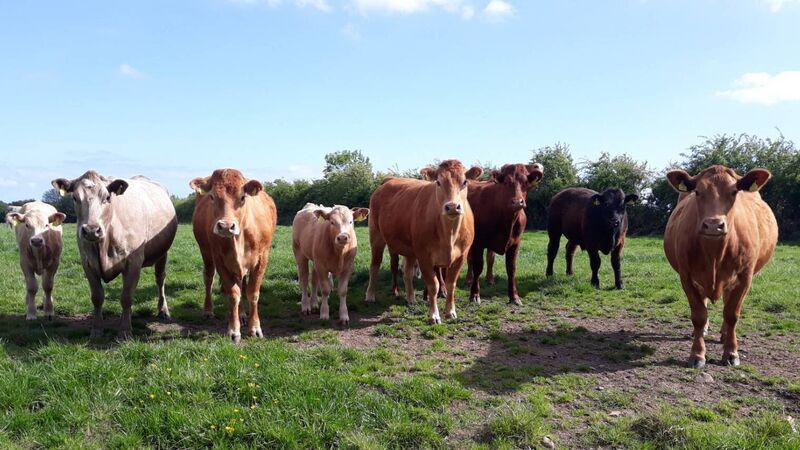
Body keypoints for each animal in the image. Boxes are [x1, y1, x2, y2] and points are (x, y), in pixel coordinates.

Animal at [52, 172, 177, 338]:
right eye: (75, 198)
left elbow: (126, 297)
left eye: (107, 197)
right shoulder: (87, 263)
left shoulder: (133, 262)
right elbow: (97, 297)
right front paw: (97, 329)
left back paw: (163, 310)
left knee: (160, 278)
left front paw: (125, 330)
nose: (91, 230)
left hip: (163, 253)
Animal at [190, 169, 277, 343]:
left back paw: (243, 314)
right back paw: (209, 310)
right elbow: (233, 295)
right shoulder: (220, 260)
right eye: (212, 197)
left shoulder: (262, 259)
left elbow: (252, 293)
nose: (225, 226)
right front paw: (233, 330)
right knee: (209, 278)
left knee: (241, 281)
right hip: (206, 252)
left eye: (243, 197)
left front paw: (254, 327)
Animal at [365, 160, 482, 324]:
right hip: (376, 236)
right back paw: (370, 295)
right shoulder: (424, 256)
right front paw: (434, 315)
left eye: (465, 182)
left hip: (409, 248)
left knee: (407, 271)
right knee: (374, 266)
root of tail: (388, 181)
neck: (449, 234)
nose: (452, 207)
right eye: (438, 182)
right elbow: (434, 285)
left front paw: (450, 311)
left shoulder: (461, 255)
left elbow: (451, 284)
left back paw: (411, 298)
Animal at [465, 163, 544, 305]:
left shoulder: (515, 244)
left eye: (525, 182)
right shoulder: (478, 243)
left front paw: (514, 297)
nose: (517, 202)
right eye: (506, 182)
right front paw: (474, 294)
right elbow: (478, 266)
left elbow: (511, 269)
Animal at [663, 165, 778, 368]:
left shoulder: (744, 278)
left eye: (734, 192)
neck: (714, 255)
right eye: (697, 192)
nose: (713, 225)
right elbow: (699, 315)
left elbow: (731, 314)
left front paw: (731, 353)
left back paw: (724, 335)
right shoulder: (686, 277)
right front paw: (697, 354)